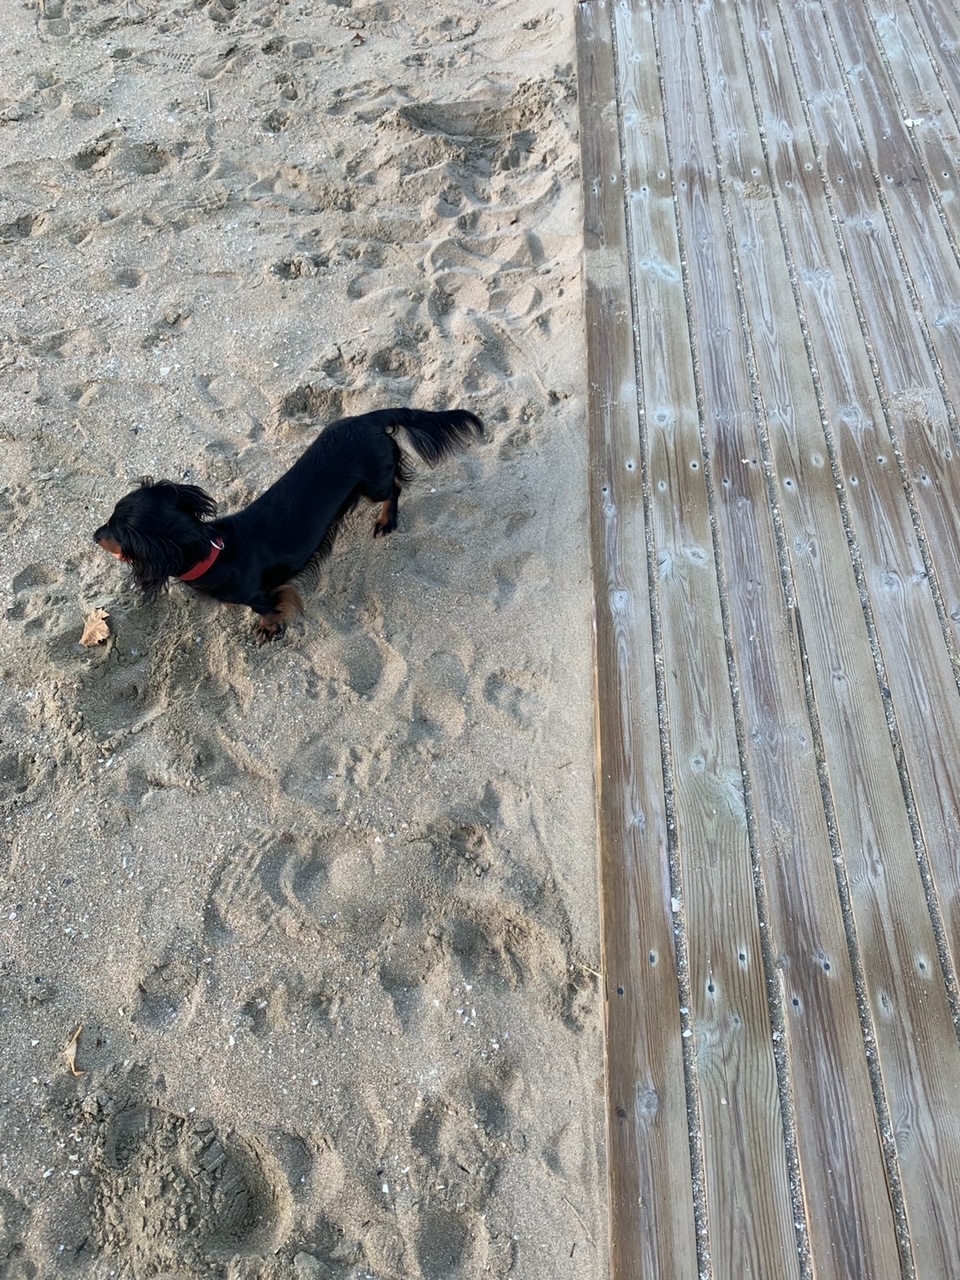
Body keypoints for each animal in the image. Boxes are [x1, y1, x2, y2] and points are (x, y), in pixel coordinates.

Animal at [94, 407, 483, 645]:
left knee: (396, 489)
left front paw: (269, 631)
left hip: (373, 485)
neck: (213, 551)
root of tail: (367, 419)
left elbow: (269, 611)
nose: (94, 535)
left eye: (114, 530)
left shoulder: (261, 596)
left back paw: (387, 521)